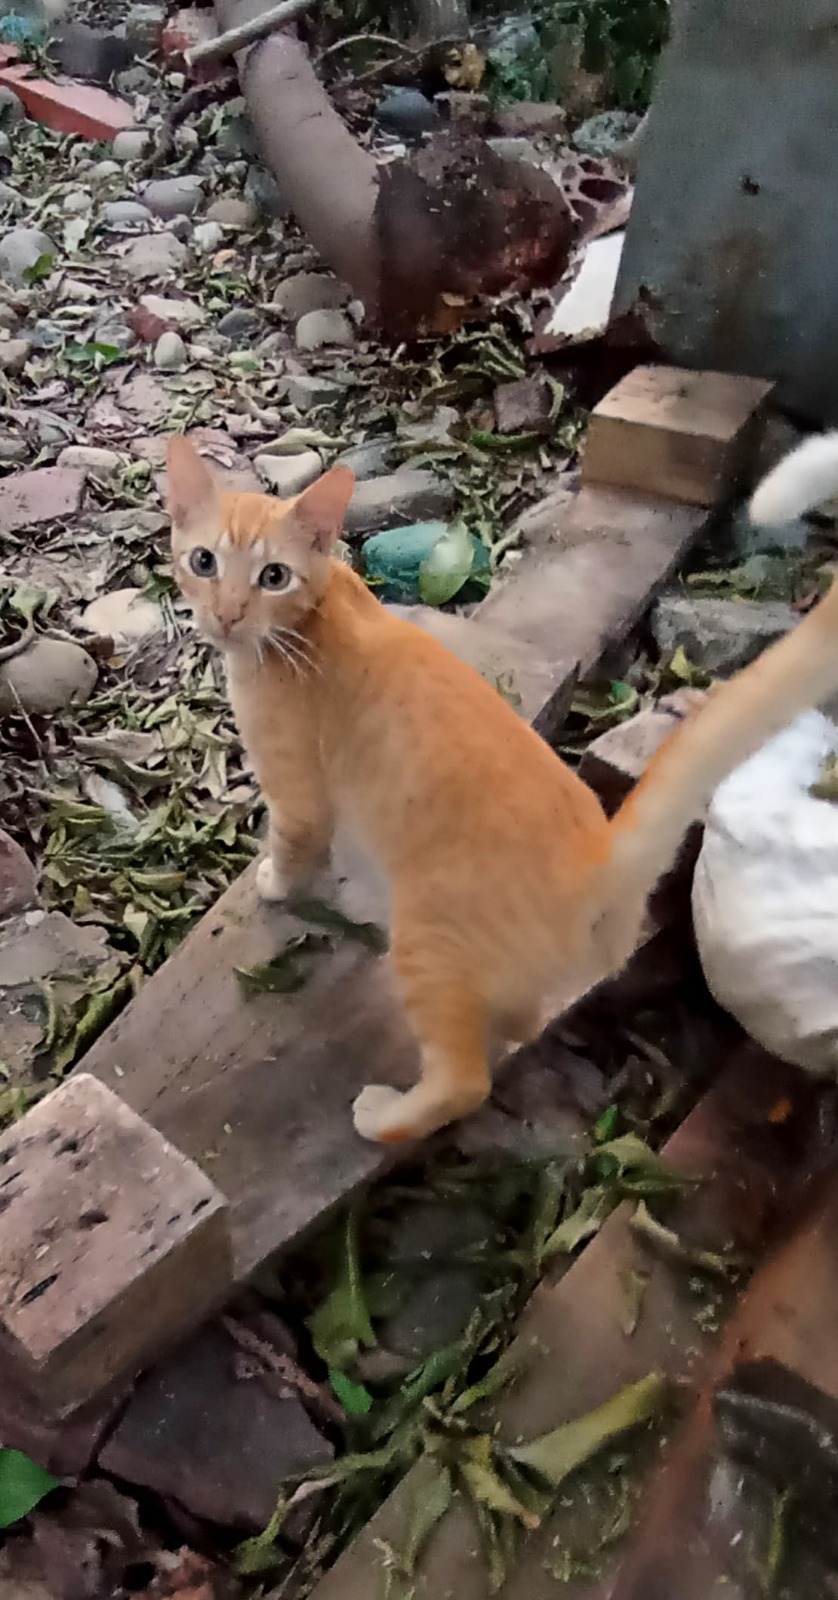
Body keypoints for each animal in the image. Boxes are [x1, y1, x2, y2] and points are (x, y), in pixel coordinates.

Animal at [167, 430, 838, 1145]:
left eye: (273, 576)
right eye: (204, 562)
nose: (227, 615)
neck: (315, 614)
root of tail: (601, 860)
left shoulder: (298, 792)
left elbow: (296, 843)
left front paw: (275, 883)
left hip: (429, 945)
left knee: (464, 1081)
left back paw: (384, 1116)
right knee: (522, 1021)